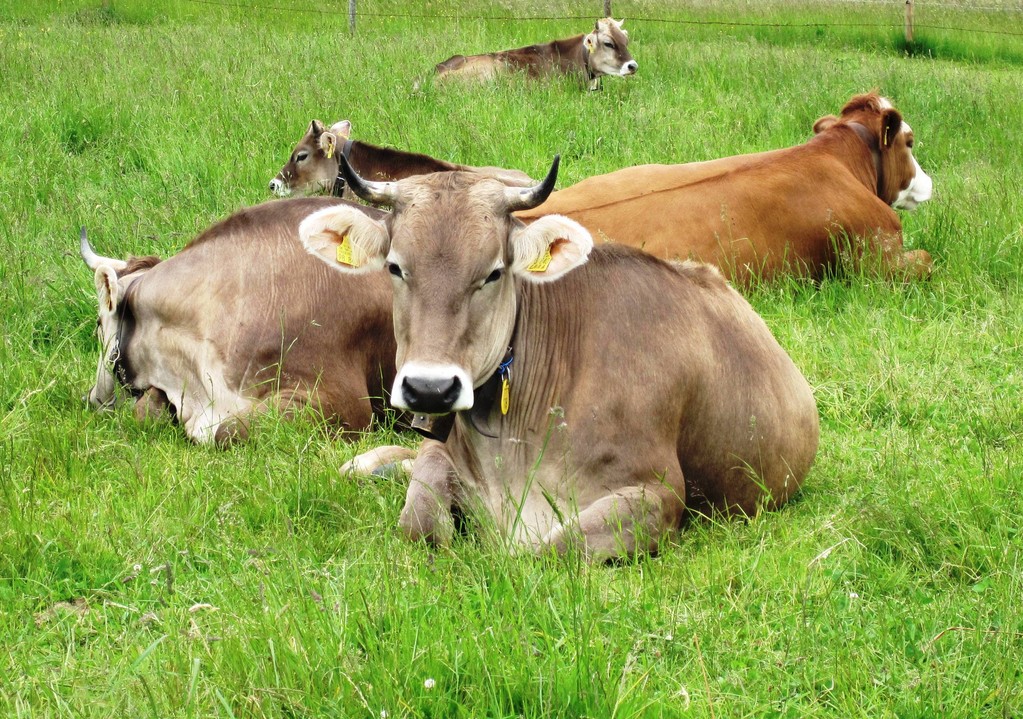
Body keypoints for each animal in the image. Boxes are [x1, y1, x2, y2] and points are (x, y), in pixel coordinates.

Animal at [298, 157, 819, 561]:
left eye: (494, 273)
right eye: (394, 266)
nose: (431, 388)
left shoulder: (657, 494)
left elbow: (542, 550)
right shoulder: (443, 451)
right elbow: (419, 517)